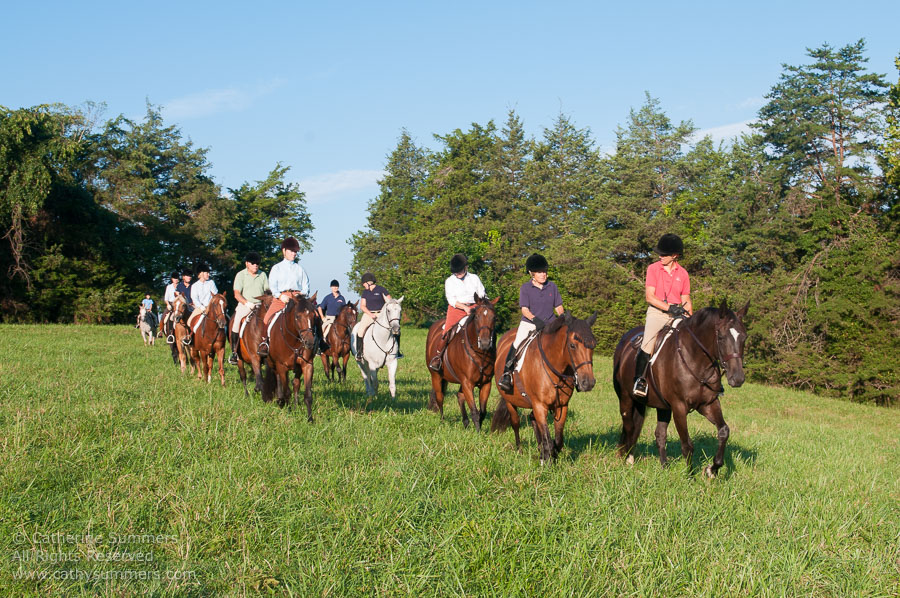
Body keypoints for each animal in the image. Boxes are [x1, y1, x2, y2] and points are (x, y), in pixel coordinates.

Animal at [260, 292, 320, 422]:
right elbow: (286, 391)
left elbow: (308, 395)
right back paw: (281, 401)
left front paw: (310, 419)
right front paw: (288, 411)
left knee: (296, 384)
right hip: (273, 364)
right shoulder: (282, 366)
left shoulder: (307, 365)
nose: (309, 342)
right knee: (278, 379)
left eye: (314, 316)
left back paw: (295, 405)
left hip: (297, 368)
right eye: (297, 316)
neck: (294, 340)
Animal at [424, 296, 500, 432]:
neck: (480, 354)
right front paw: (478, 433)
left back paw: (465, 422)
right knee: (439, 397)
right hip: (436, 376)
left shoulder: (486, 383)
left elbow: (482, 411)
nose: (485, 343)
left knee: (459, 396)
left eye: (494, 317)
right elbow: (474, 410)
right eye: (477, 317)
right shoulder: (467, 383)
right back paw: (442, 421)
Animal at [488, 312, 596, 466]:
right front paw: (547, 461)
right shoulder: (540, 405)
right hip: (510, 401)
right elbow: (547, 438)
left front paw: (549, 455)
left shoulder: (562, 406)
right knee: (515, 423)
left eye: (593, 345)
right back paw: (519, 450)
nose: (588, 383)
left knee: (533, 419)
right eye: (572, 345)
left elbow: (558, 440)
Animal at [612, 302, 752, 480]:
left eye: (744, 337)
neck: (696, 360)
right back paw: (627, 459)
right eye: (720, 337)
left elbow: (724, 431)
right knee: (629, 427)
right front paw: (690, 477)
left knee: (659, 434)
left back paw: (664, 466)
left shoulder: (708, 404)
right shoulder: (679, 407)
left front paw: (712, 469)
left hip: (662, 406)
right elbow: (687, 444)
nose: (738, 378)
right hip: (626, 398)